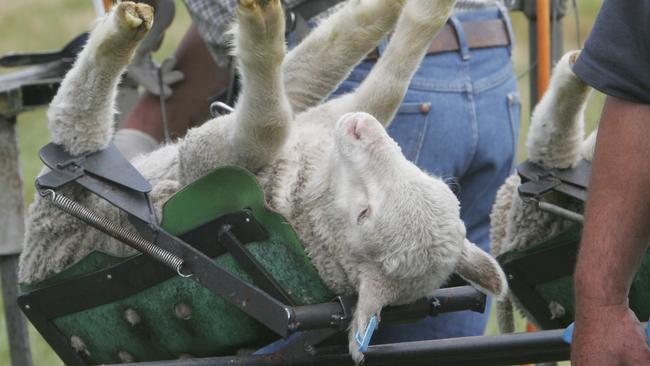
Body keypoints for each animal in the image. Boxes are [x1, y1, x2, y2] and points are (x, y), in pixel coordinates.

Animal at [19, 0, 506, 362]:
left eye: (365, 214)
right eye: (443, 189)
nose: (359, 130)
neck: (306, 198)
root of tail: (26, 270)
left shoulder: (205, 164)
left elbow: (266, 127)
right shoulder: (325, 121)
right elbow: (386, 90)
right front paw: (421, 13)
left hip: (73, 178)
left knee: (75, 115)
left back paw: (132, 31)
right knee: (309, 71)